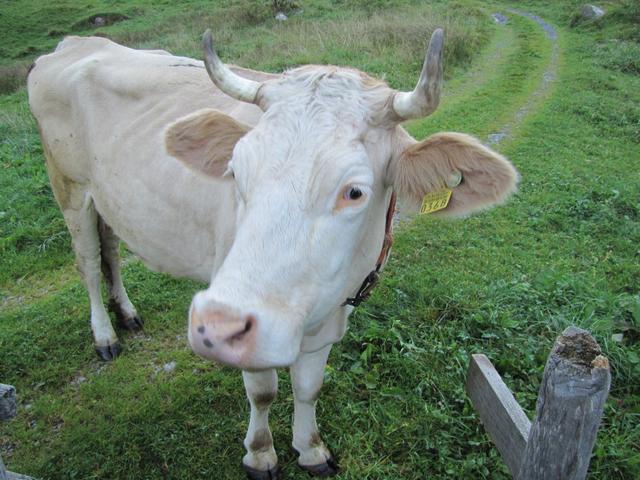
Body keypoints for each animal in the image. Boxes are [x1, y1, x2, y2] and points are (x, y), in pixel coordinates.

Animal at [28, 28, 518, 479]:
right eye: (235, 171)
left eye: (354, 191)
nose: (214, 326)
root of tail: (75, 43)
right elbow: (263, 392)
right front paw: (261, 454)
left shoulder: (328, 317)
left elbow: (309, 387)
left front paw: (312, 449)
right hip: (69, 189)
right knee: (88, 263)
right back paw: (105, 334)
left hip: (109, 200)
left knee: (110, 249)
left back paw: (127, 313)